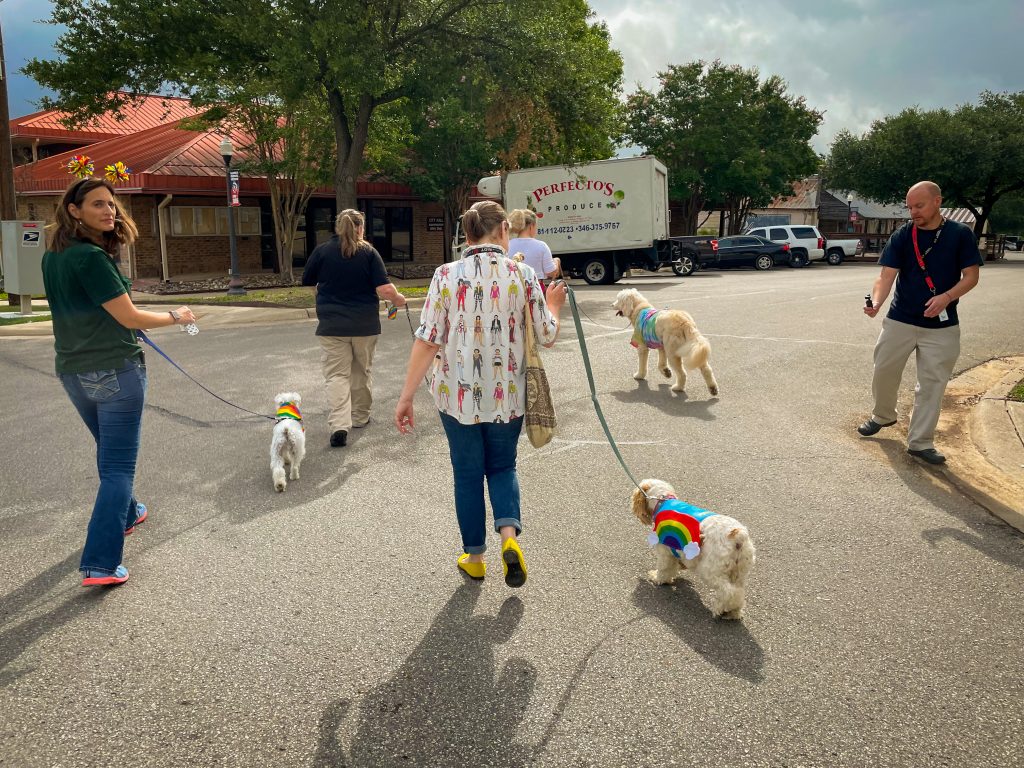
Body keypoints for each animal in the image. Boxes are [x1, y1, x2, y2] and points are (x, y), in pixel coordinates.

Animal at [626, 479, 757, 622]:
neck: (663, 500)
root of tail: (737, 534)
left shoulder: (664, 552)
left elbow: (664, 569)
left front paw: (657, 578)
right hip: (740, 572)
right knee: (739, 592)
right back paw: (733, 612)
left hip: (710, 571)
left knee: (728, 592)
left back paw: (720, 610)